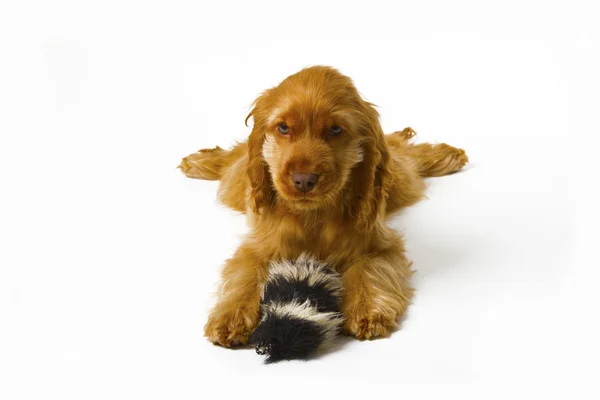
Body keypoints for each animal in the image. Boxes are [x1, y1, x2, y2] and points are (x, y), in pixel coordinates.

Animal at [178, 66, 468, 346]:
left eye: (335, 130)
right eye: (283, 128)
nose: (303, 180)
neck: (313, 215)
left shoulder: (377, 244)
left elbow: (370, 269)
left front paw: (367, 310)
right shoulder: (257, 246)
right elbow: (244, 277)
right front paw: (230, 317)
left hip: (402, 183)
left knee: (404, 153)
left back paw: (446, 155)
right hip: (235, 184)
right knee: (232, 160)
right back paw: (200, 161)